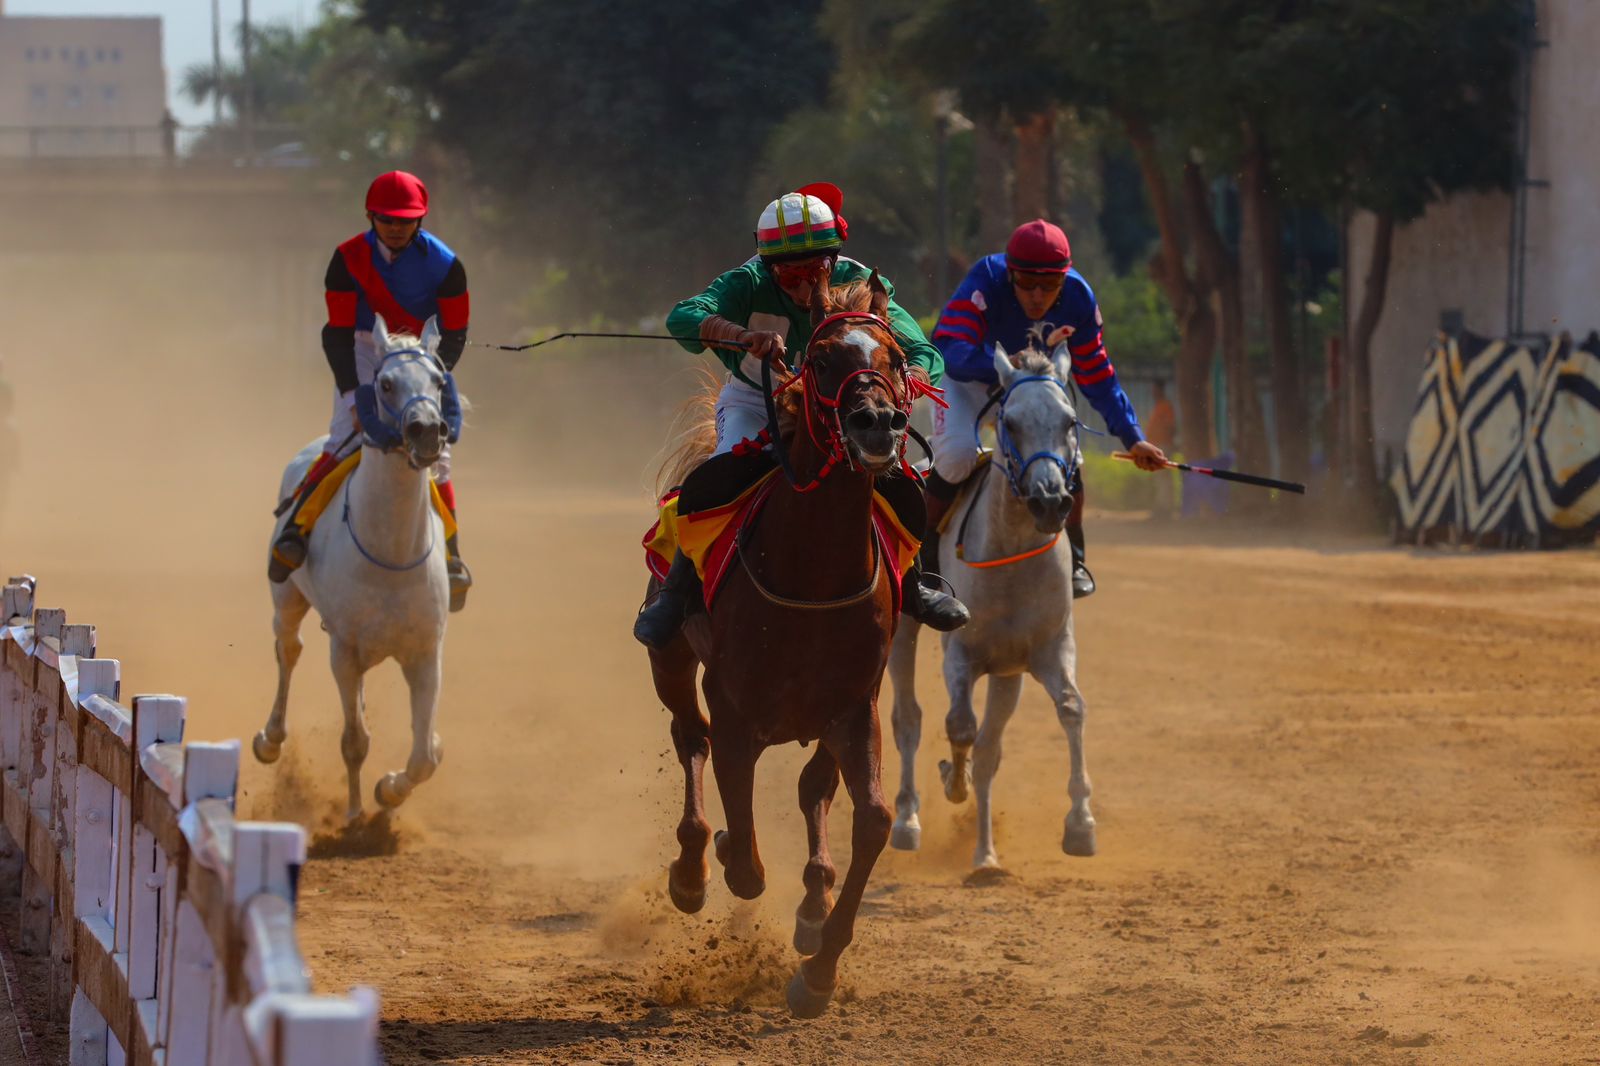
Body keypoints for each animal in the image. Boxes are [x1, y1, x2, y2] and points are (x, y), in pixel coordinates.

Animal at [255, 315, 456, 821]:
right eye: (385, 384)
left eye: (438, 380)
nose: (428, 431)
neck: (392, 555)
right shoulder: (344, 650)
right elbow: (353, 742)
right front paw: (353, 815)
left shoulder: (425, 651)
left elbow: (426, 755)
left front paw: (389, 791)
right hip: (287, 597)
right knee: (288, 648)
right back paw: (270, 739)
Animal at [648, 274, 913, 1018]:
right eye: (820, 359)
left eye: (893, 357)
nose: (878, 424)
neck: (812, 575)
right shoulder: (736, 705)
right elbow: (742, 846)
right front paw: (719, 856)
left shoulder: (855, 707)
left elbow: (872, 819)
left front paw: (819, 969)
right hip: (671, 661)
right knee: (691, 738)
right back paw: (691, 866)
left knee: (810, 786)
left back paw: (812, 900)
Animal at [886, 336, 1095, 875]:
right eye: (1012, 421)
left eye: (1069, 421)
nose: (1050, 501)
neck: (1011, 551)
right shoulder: (962, 655)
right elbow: (959, 726)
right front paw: (951, 782)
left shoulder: (1046, 650)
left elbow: (1068, 710)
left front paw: (1080, 823)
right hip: (903, 631)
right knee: (908, 719)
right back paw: (907, 820)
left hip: (1008, 673)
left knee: (987, 743)